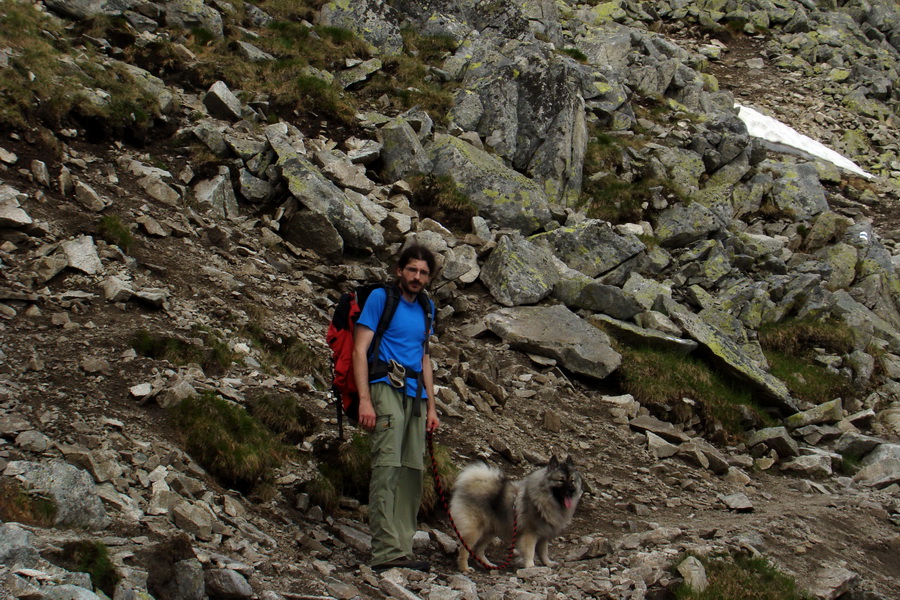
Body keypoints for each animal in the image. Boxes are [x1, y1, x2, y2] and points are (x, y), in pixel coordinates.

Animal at [448, 454, 584, 572]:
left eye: (572, 480)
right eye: (561, 480)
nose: (572, 490)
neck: (545, 499)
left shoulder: (544, 535)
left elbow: (544, 552)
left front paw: (548, 563)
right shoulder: (529, 534)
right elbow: (530, 551)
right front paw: (530, 566)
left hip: (490, 531)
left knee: (478, 550)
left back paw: (488, 565)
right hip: (474, 531)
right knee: (465, 550)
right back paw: (465, 568)